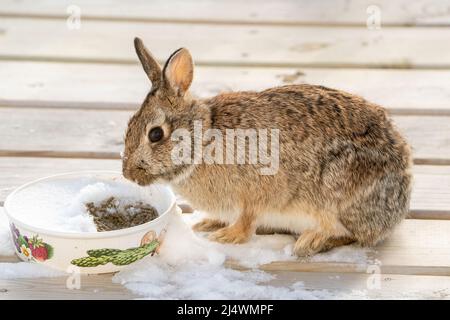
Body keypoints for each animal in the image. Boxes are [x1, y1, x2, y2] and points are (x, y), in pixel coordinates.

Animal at [122, 38, 412, 258]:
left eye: (155, 134)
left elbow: (247, 219)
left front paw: (226, 236)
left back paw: (310, 242)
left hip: (338, 191)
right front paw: (208, 223)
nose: (128, 174)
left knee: (350, 234)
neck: (203, 139)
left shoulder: (255, 193)